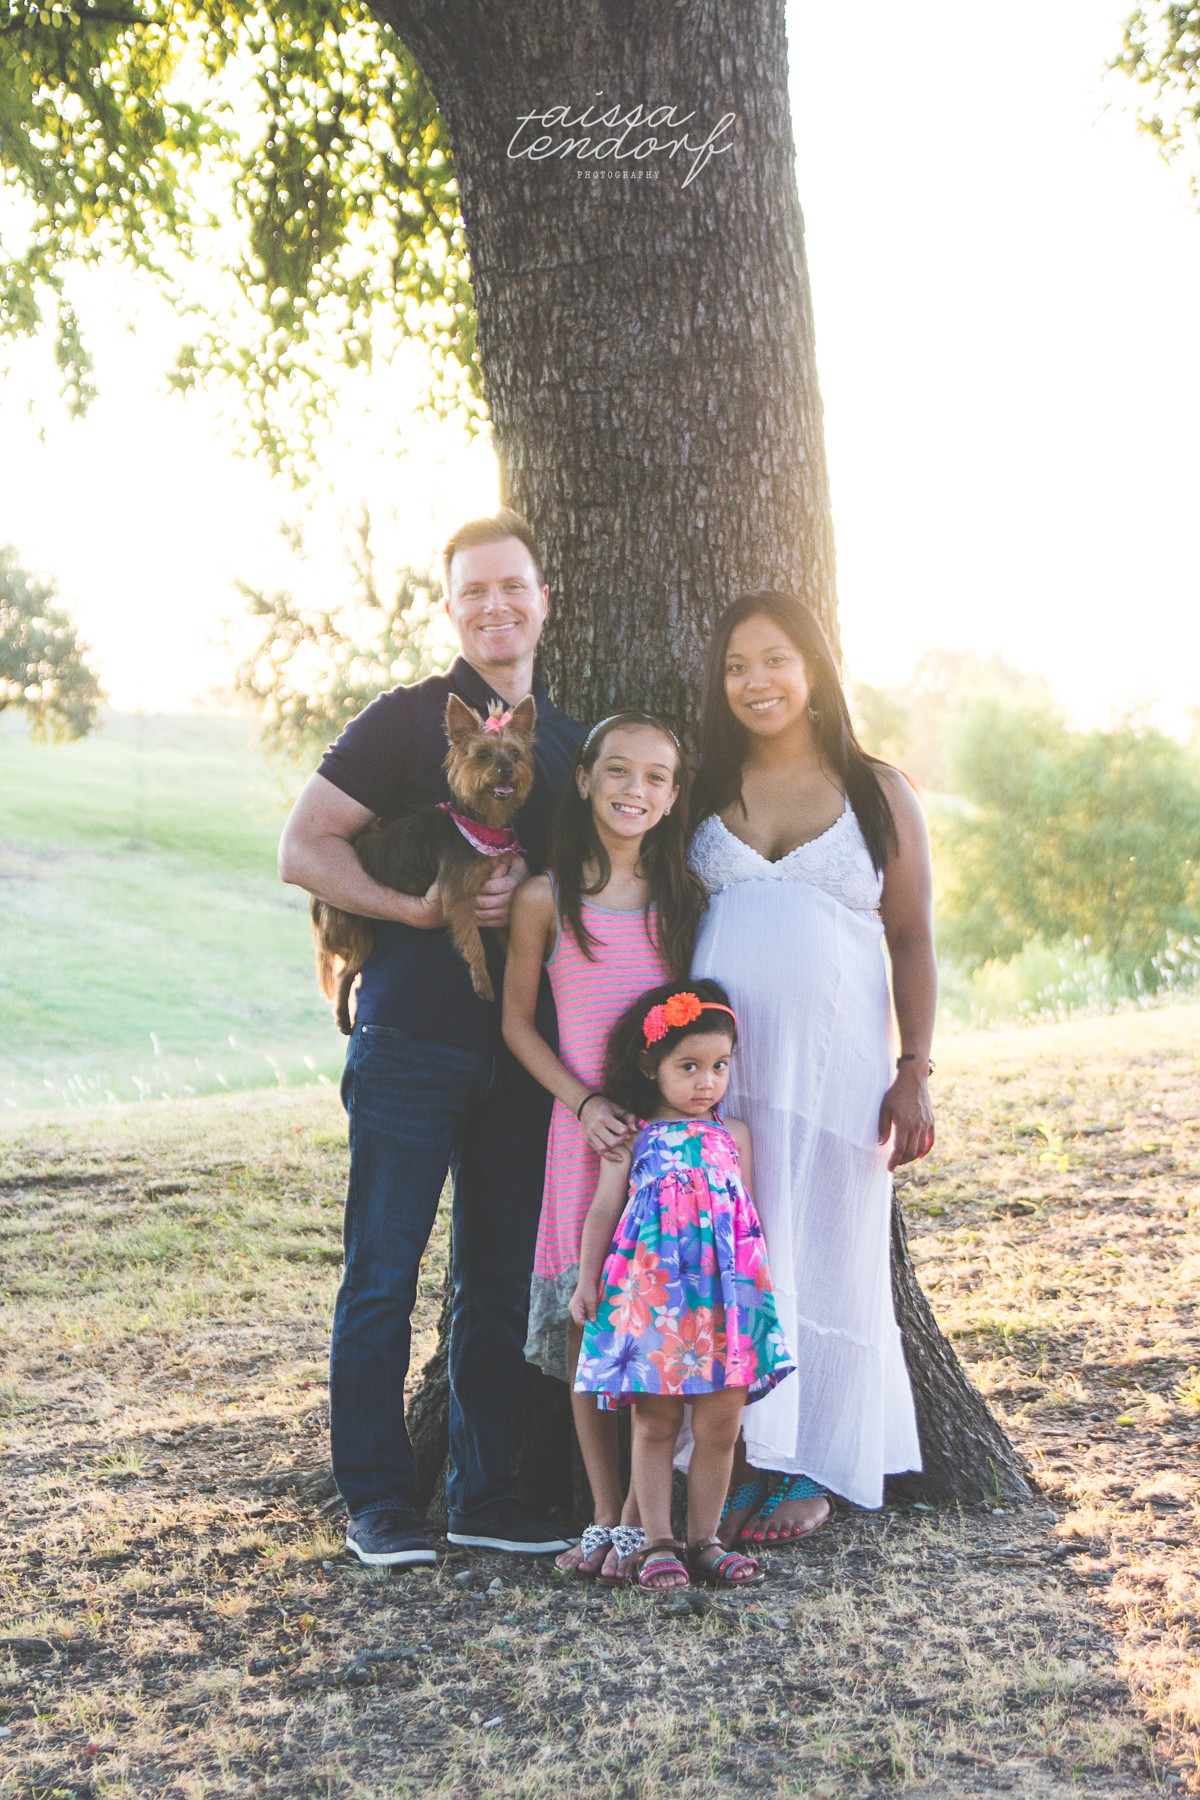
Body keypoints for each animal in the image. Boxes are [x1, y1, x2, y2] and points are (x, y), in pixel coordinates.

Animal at [311, 693, 537, 1032]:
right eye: (482, 755)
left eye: (515, 753)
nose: (507, 769)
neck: (481, 824)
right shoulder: (458, 897)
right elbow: (473, 942)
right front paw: (483, 982)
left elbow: (508, 935)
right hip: (351, 922)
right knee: (345, 968)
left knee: (347, 972)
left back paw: (342, 1017)